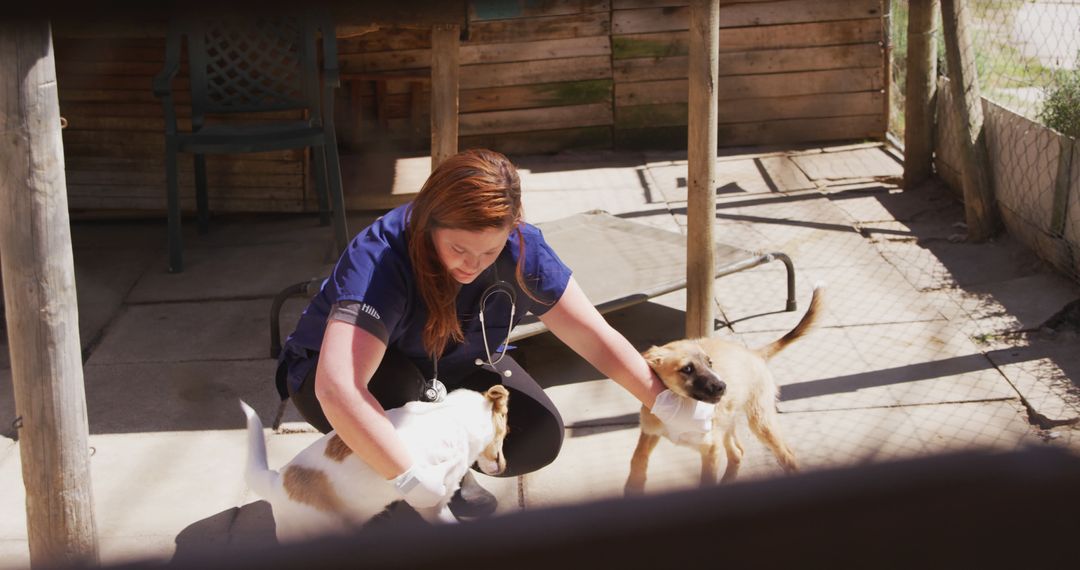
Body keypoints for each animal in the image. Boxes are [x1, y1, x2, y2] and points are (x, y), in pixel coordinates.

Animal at [626, 285, 816, 494]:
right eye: (687, 369)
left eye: (710, 363)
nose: (722, 386)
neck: (682, 404)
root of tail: (754, 353)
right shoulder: (650, 431)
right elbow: (637, 457)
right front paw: (634, 485)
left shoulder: (711, 448)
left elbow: (707, 481)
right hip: (728, 422)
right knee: (738, 452)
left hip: (760, 420)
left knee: (787, 455)